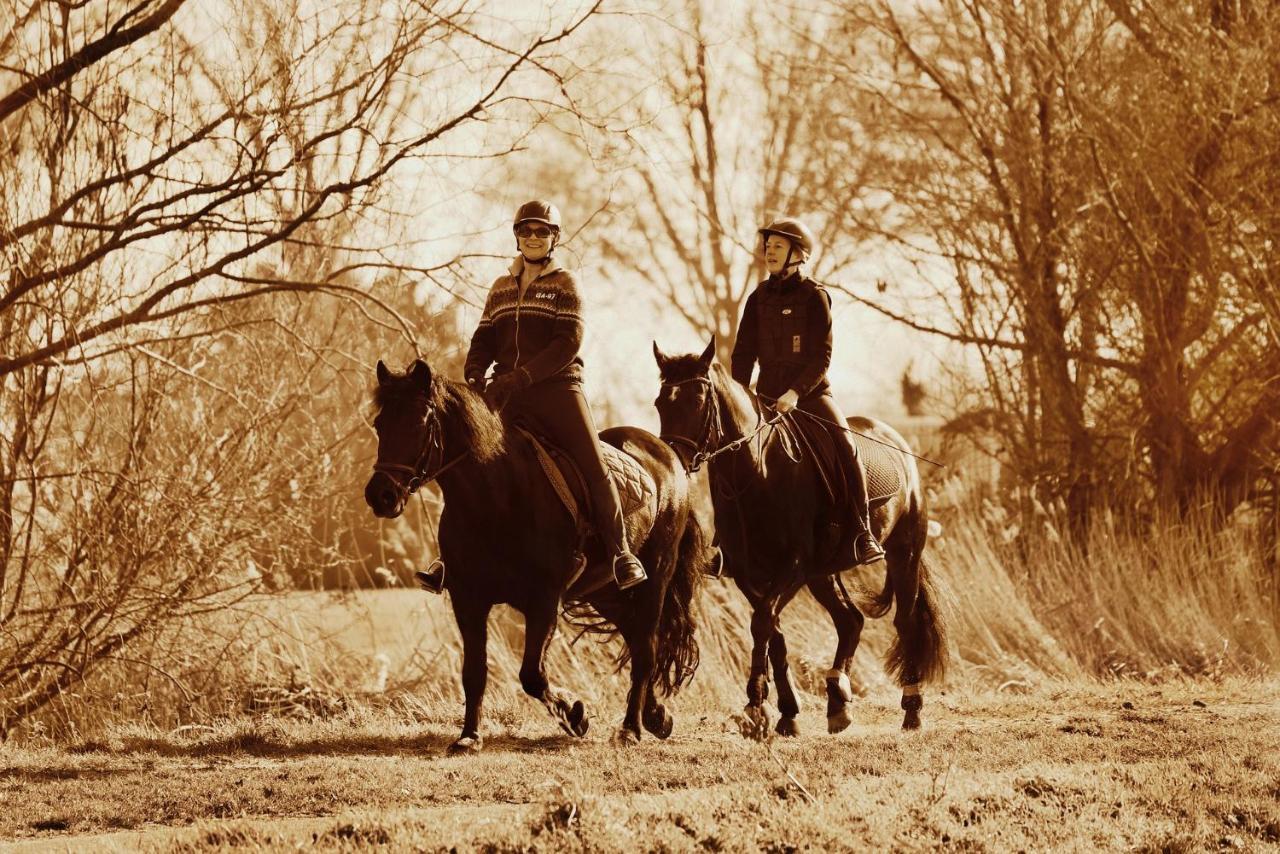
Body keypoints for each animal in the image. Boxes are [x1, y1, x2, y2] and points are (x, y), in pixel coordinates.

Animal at [366, 361, 711, 752]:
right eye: (380, 423)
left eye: (419, 424)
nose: (380, 495)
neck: (495, 498)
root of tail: (670, 455)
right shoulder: (468, 600)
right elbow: (474, 671)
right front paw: (469, 737)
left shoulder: (543, 600)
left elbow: (531, 674)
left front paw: (575, 716)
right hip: (605, 592)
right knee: (637, 638)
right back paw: (655, 716)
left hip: (655, 581)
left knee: (646, 649)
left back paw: (630, 730)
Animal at [655, 340, 947, 737]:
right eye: (660, 403)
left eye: (698, 399)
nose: (674, 461)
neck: (758, 471)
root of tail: (894, 436)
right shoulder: (749, 574)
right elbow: (773, 632)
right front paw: (787, 713)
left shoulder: (793, 567)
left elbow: (763, 621)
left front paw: (756, 703)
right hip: (824, 573)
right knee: (850, 621)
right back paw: (838, 702)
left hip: (904, 553)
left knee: (905, 622)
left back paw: (912, 710)